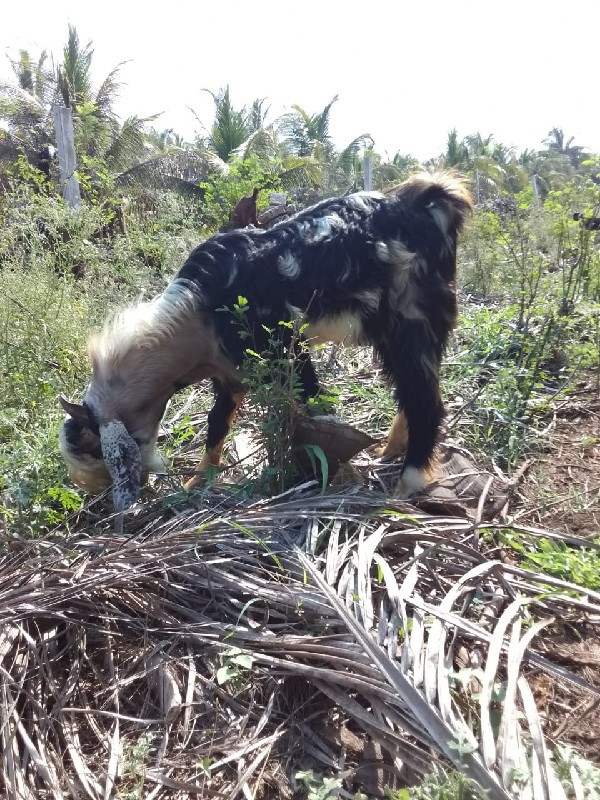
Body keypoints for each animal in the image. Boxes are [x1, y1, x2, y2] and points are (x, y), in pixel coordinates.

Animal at [59, 172, 474, 516]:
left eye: (95, 449)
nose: (107, 504)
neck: (198, 311)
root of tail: (428, 201)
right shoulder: (229, 375)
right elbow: (216, 424)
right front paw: (198, 481)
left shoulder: (286, 352)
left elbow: (317, 410)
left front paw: (338, 477)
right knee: (413, 392)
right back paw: (389, 451)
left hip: (413, 321)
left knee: (426, 402)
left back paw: (408, 486)